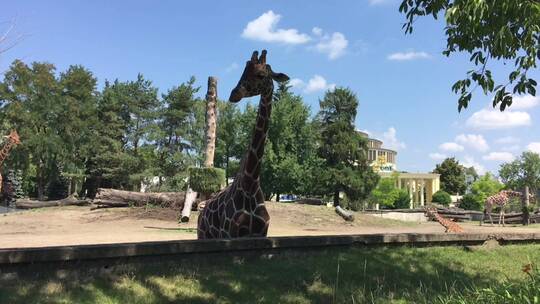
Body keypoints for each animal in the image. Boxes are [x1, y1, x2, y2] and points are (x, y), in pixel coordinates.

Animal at [197, 50, 292, 240]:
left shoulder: (260, 233)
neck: (251, 184)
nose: (234, 94)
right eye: (243, 72)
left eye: (261, 74)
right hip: (203, 235)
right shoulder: (230, 234)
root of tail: (202, 211)